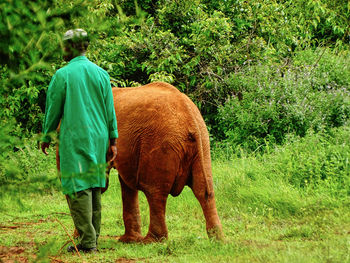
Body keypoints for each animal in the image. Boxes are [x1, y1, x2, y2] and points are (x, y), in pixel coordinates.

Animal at [56, 82, 221, 243]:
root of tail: (190, 118)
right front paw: (127, 240)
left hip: (160, 144)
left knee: (154, 190)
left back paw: (151, 241)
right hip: (202, 144)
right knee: (204, 190)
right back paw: (218, 240)